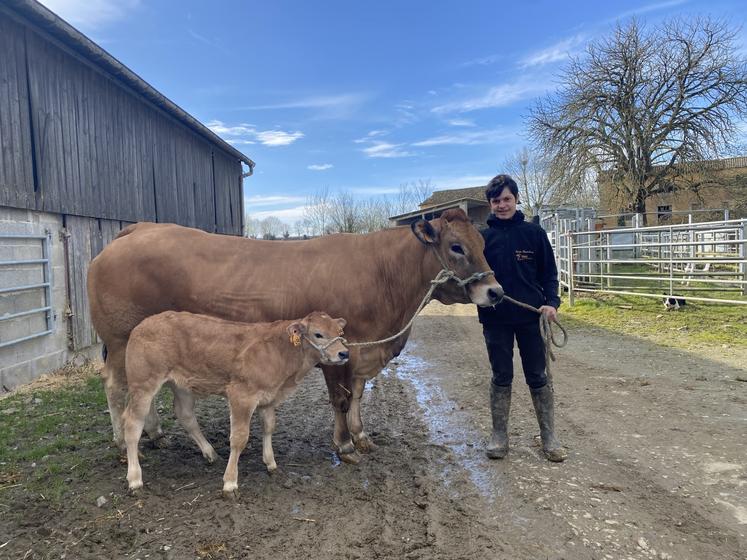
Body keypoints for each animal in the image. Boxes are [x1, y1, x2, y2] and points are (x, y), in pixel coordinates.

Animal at [90, 210, 506, 464]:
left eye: (484, 244)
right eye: (456, 247)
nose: (496, 292)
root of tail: (139, 228)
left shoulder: (360, 353)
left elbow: (357, 396)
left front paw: (361, 436)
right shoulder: (337, 353)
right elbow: (341, 399)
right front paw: (344, 445)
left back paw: (155, 433)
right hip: (122, 340)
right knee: (114, 385)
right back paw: (121, 440)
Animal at [121, 310, 350, 498]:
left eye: (340, 331)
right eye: (318, 334)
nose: (344, 353)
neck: (280, 352)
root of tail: (144, 324)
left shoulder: (268, 398)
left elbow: (269, 427)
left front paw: (271, 464)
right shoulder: (242, 395)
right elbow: (239, 438)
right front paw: (230, 483)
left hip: (181, 385)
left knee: (185, 415)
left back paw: (210, 452)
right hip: (143, 384)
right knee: (132, 424)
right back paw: (135, 479)